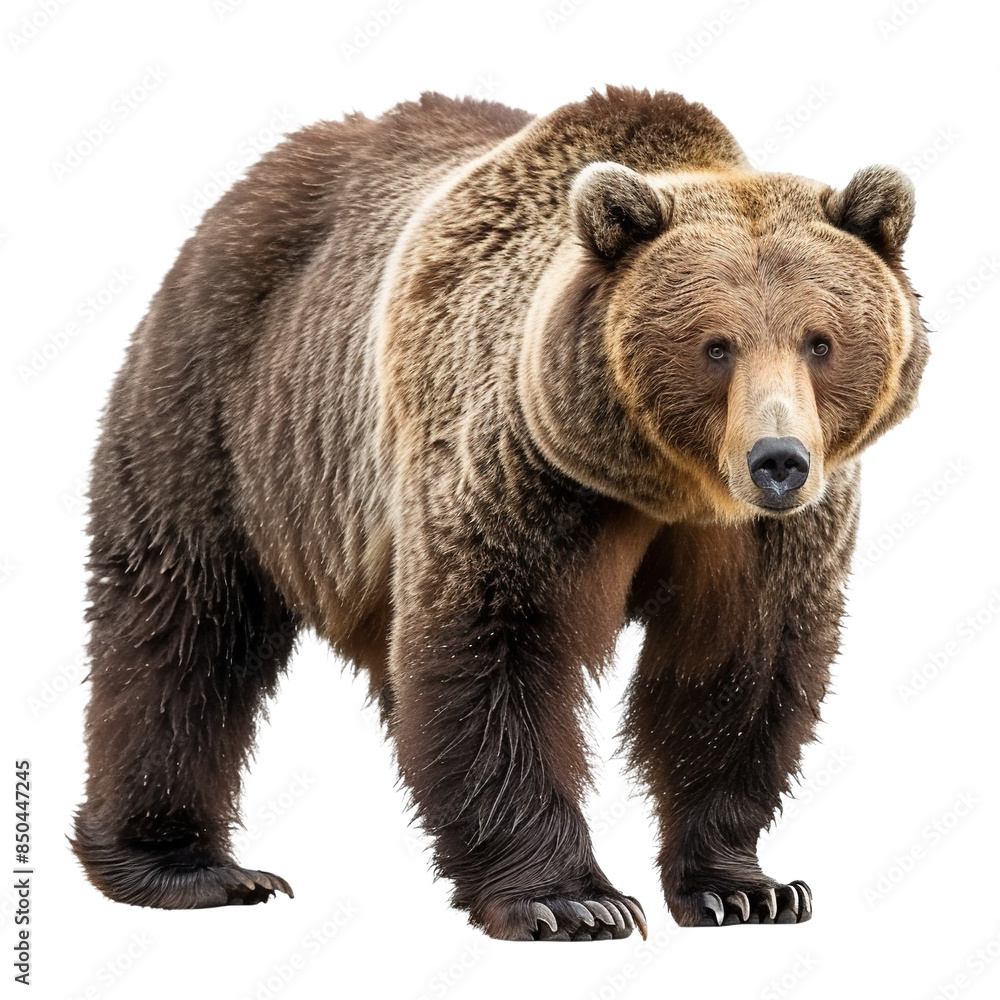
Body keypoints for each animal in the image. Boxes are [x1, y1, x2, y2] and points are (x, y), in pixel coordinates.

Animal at [71, 87, 929, 939]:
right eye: (715, 345)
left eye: (820, 340)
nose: (778, 460)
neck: (667, 483)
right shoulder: (518, 469)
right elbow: (495, 647)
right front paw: (571, 900)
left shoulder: (763, 538)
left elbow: (738, 666)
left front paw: (745, 888)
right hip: (227, 411)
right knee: (182, 621)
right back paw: (186, 866)